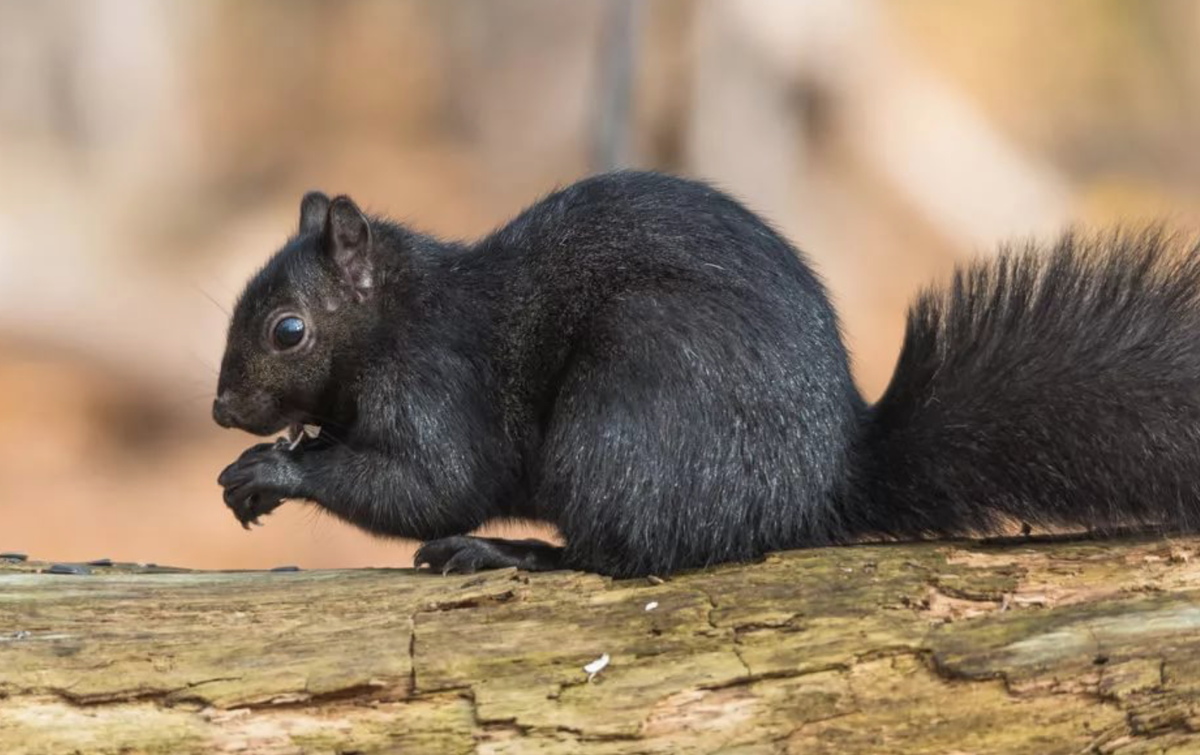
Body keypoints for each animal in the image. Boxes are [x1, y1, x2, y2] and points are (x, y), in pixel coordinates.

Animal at [213, 170, 1200, 573]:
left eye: (288, 328)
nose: (223, 409)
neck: (398, 313)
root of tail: (821, 483)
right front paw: (277, 457)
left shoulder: (437, 381)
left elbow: (434, 482)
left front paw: (277, 468)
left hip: (628, 416)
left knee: (617, 552)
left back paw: (509, 551)